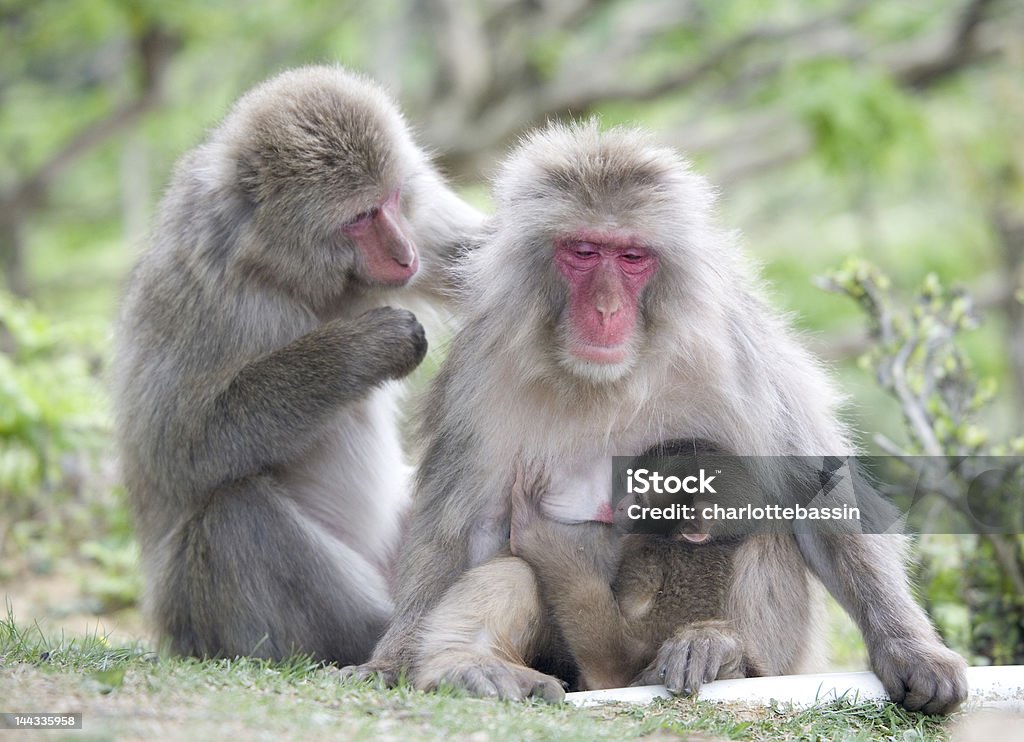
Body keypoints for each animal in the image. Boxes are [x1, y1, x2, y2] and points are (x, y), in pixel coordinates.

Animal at [110, 66, 485, 663]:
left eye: (393, 199)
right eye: (360, 217)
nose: (405, 255)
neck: (280, 268)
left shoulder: (421, 226)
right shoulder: (196, 284)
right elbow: (173, 445)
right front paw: (362, 346)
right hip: (202, 620)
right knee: (234, 513)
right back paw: (382, 637)